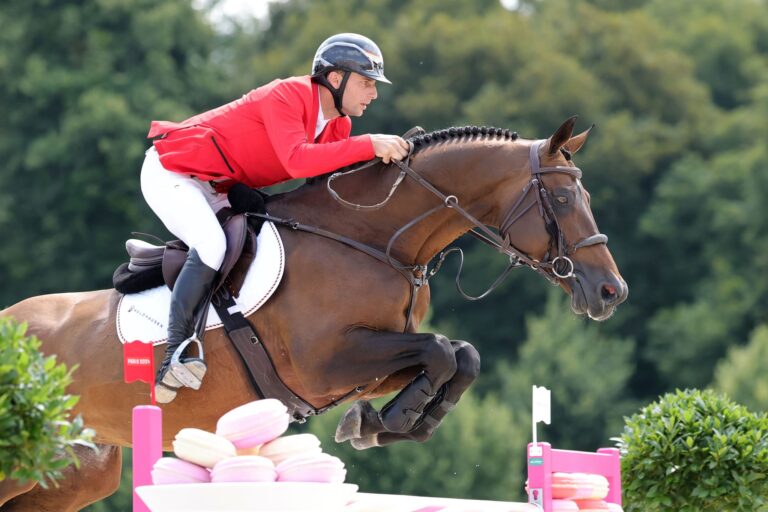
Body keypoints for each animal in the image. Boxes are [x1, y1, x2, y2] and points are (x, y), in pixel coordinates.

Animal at [0, 116, 624, 508]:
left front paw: (383, 422)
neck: (370, 239)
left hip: (74, 471)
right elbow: (441, 352)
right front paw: (386, 423)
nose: (611, 292)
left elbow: (458, 356)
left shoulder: (367, 362)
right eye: (562, 199)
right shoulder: (325, 364)